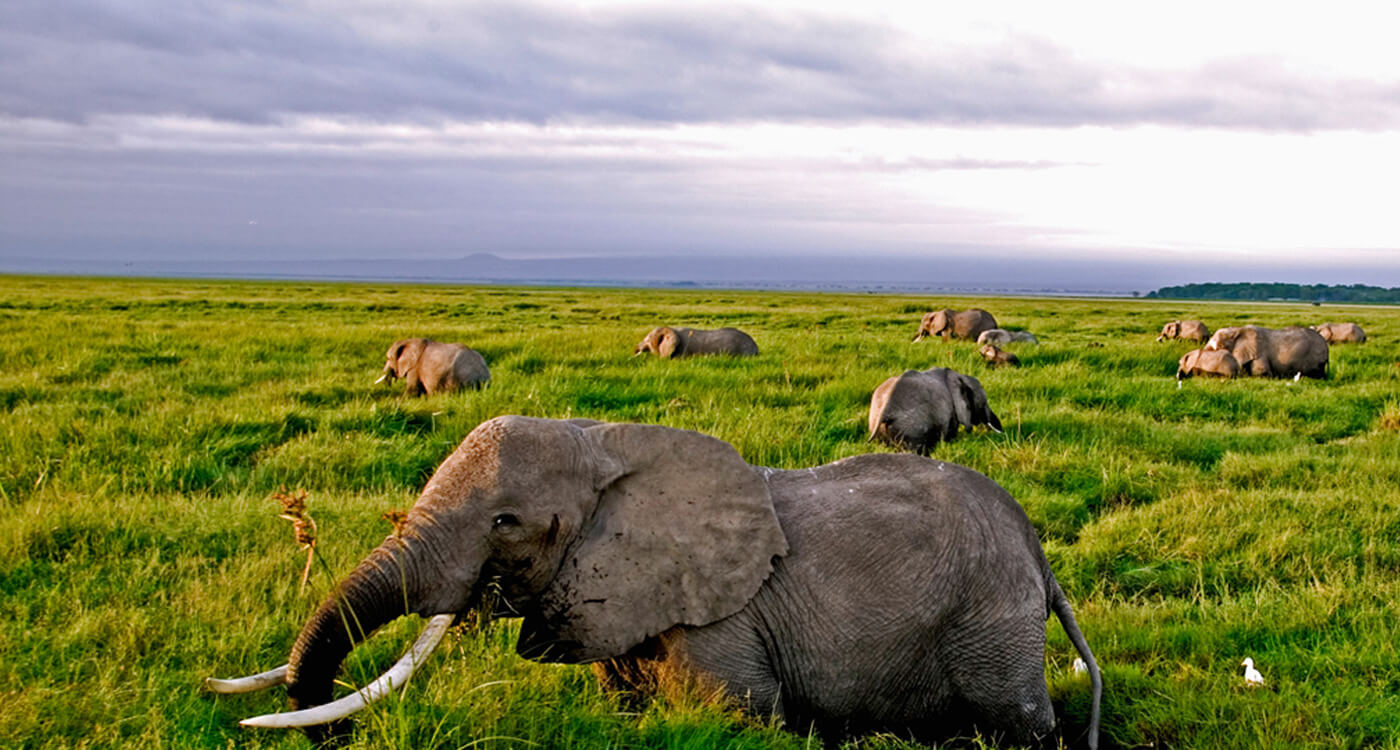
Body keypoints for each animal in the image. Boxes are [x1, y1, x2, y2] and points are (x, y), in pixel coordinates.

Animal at [210, 416, 1103, 750]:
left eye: (505, 522)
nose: (339, 736)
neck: (605, 443)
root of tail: (1038, 550)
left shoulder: (723, 622)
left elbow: (740, 716)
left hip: (989, 621)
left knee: (1020, 726)